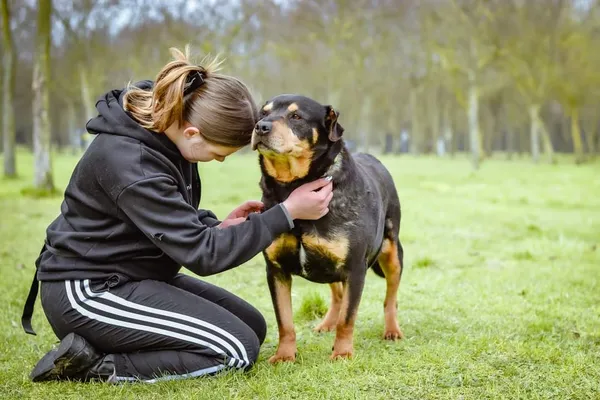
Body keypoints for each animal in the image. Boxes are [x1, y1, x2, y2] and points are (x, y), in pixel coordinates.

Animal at [251, 94, 406, 362]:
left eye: (296, 116)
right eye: (263, 113)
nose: (261, 127)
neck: (292, 186)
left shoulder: (355, 268)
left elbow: (348, 318)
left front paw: (342, 353)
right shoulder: (276, 270)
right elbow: (285, 321)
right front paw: (284, 356)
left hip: (393, 252)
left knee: (390, 297)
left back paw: (392, 330)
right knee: (337, 294)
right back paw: (327, 324)